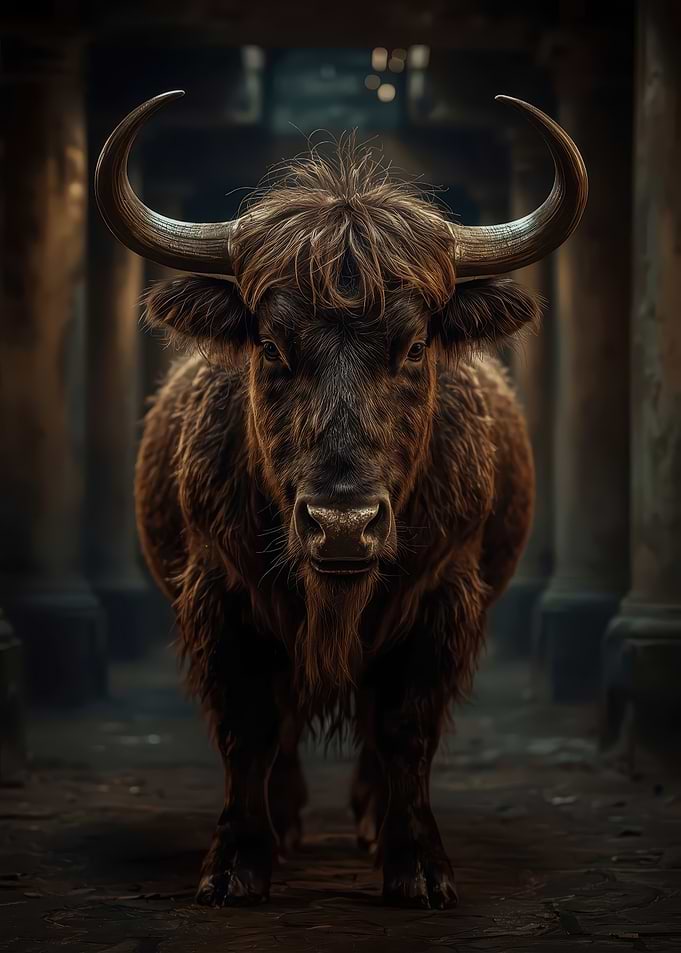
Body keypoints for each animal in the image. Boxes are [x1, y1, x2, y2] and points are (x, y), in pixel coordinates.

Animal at [95, 91, 587, 910]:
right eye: (270, 346)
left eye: (414, 346)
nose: (343, 526)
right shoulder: (222, 596)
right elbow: (252, 727)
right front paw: (238, 864)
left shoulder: (440, 600)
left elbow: (403, 729)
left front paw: (416, 865)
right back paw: (292, 821)